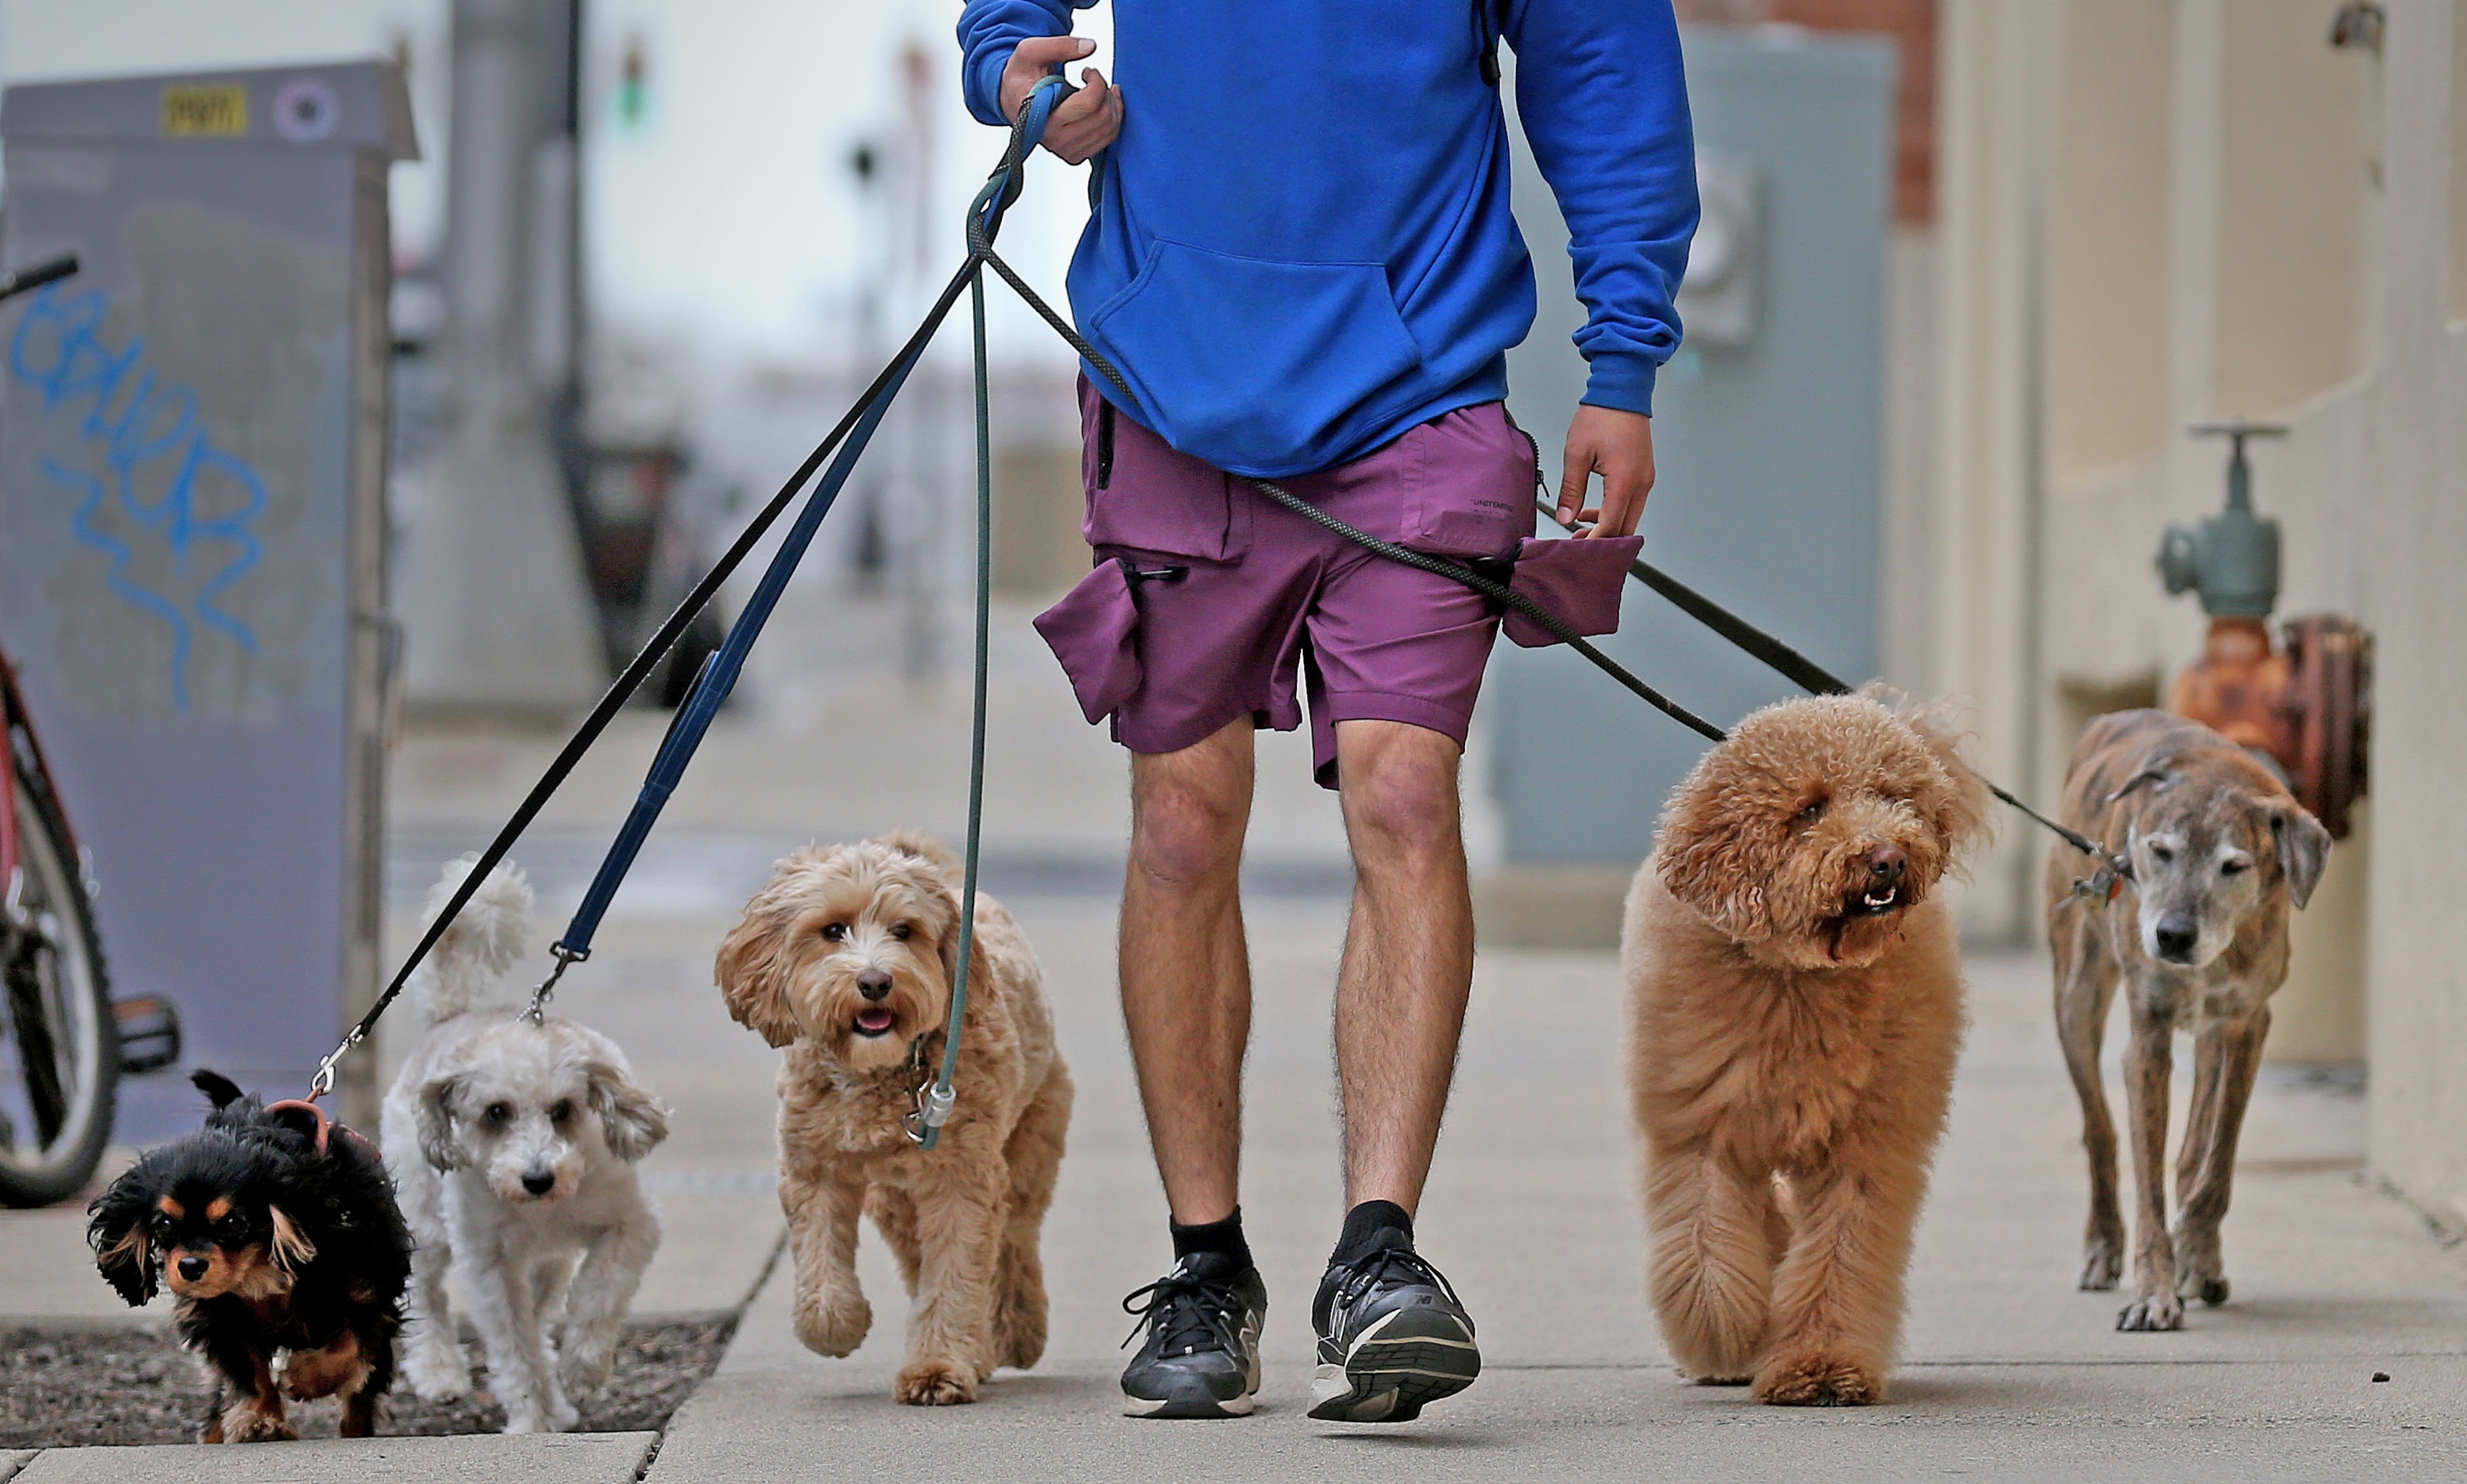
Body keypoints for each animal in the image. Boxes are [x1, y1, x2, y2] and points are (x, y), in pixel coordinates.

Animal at [377, 862, 671, 1430]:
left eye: (563, 1110)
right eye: (496, 1112)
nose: (538, 1178)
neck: (544, 1210)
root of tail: (450, 1017)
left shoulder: (629, 1226)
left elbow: (599, 1294)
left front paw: (582, 1368)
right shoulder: (488, 1265)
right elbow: (513, 1347)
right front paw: (532, 1420)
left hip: (545, 1266)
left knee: (540, 1320)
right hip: (427, 1224)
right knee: (426, 1293)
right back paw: (439, 1372)